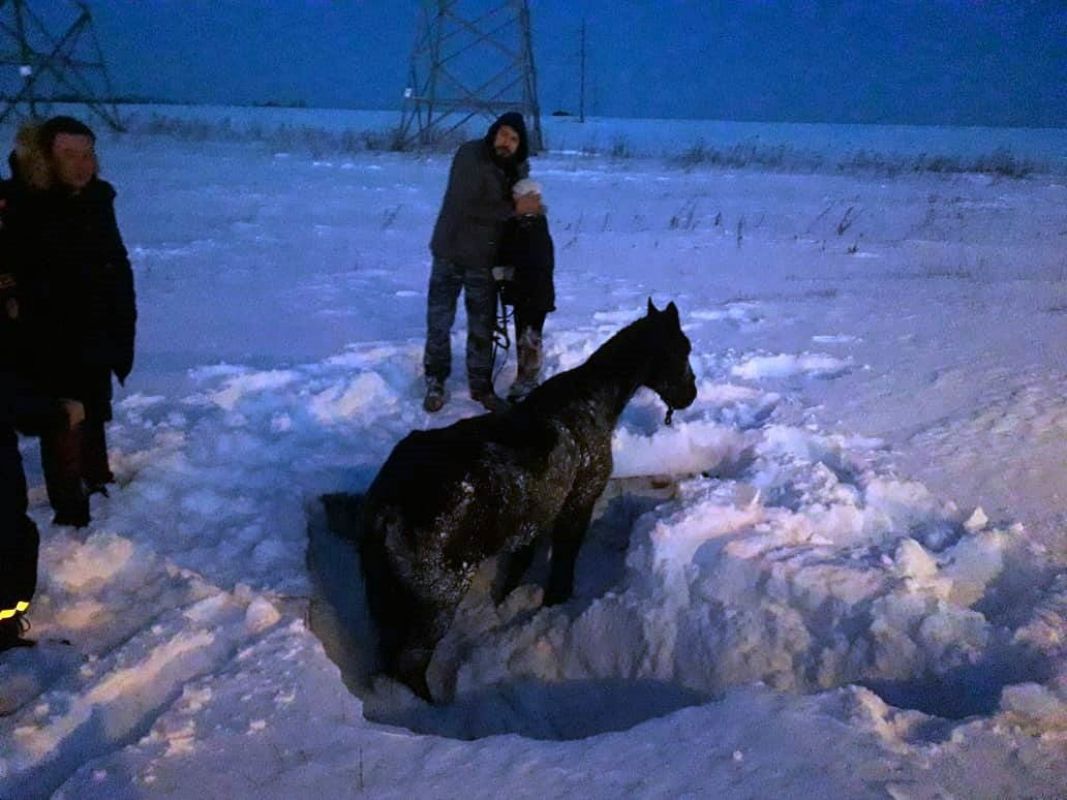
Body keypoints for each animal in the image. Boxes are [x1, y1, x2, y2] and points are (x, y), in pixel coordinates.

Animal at [359, 299, 698, 701]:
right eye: (682, 350)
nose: (691, 395)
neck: (591, 400)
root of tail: (387, 504)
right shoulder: (578, 504)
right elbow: (564, 560)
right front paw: (557, 603)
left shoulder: (533, 518)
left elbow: (520, 564)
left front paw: (508, 601)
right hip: (437, 598)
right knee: (411, 661)